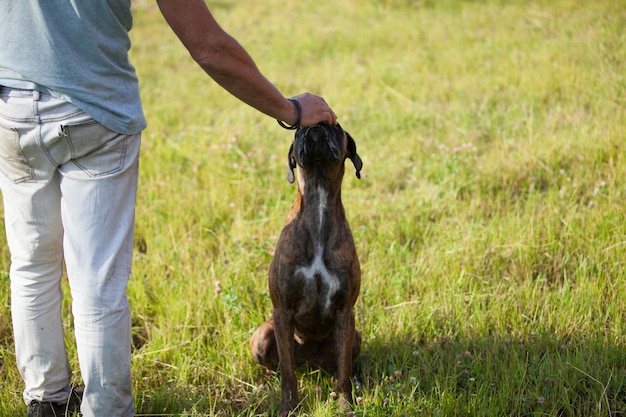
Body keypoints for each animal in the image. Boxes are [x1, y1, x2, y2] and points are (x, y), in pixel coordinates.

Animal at [249, 122, 360, 414]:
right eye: (298, 130)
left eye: (336, 126)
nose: (317, 125)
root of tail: (308, 364)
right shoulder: (282, 312)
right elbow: (288, 375)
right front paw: (289, 407)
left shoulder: (345, 312)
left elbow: (344, 372)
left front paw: (345, 405)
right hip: (263, 335)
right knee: (281, 367)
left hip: (355, 337)